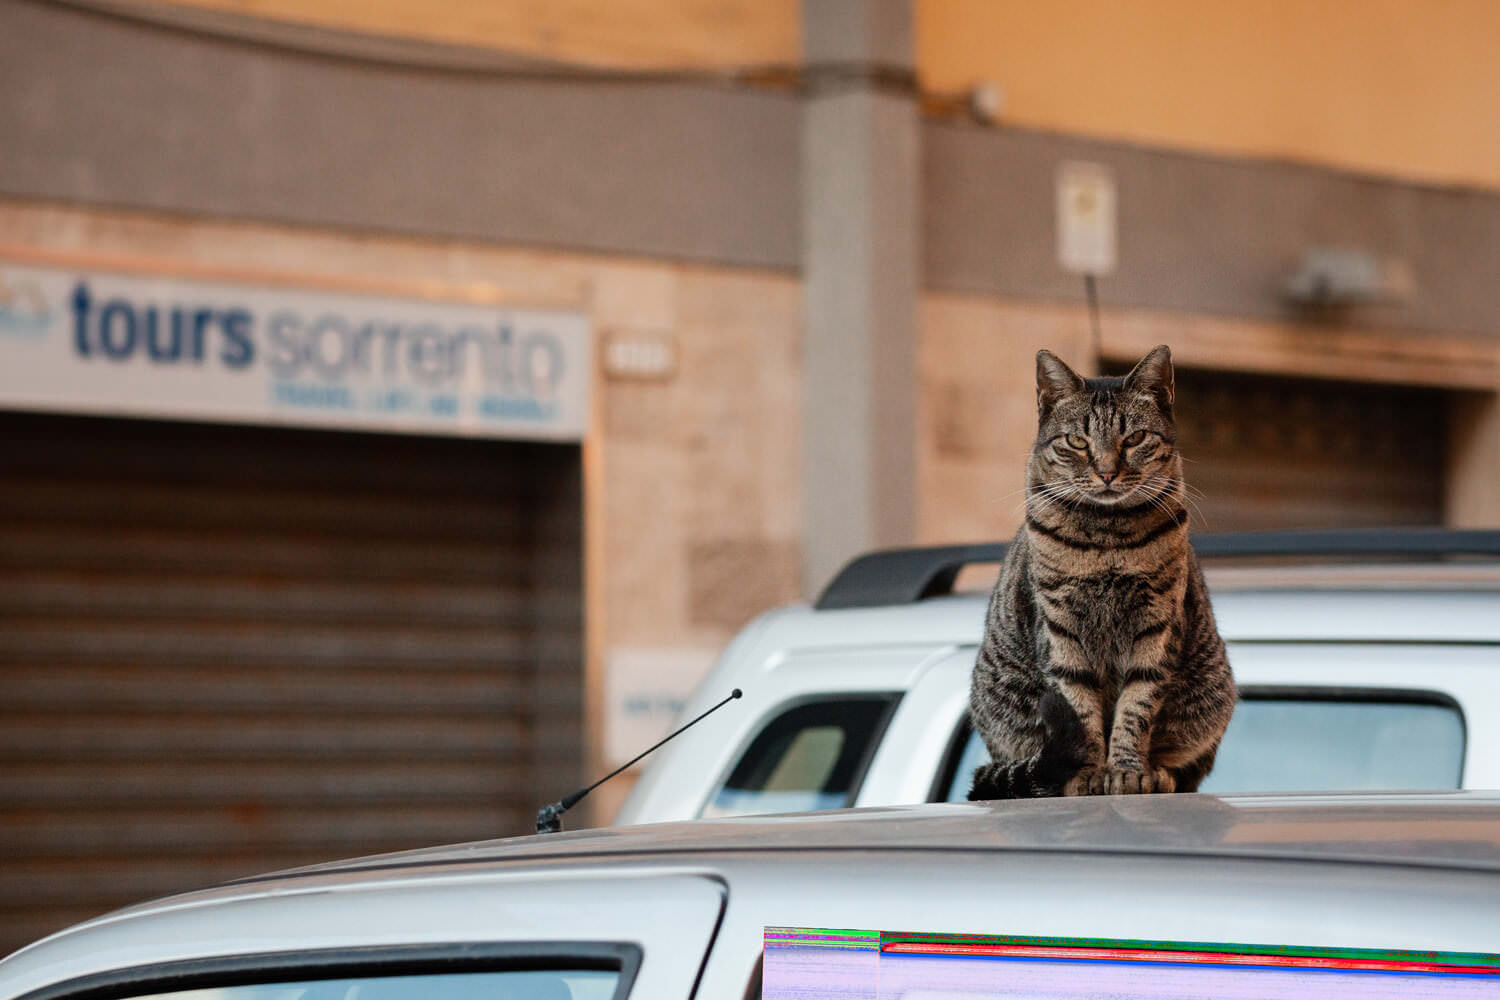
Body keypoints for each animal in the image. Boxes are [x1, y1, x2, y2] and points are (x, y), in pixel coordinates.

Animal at [966, 347, 1236, 803]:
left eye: (1134, 439)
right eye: (1077, 441)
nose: (1107, 472)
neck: (1107, 541)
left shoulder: (1157, 626)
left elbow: (1136, 707)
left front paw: (1126, 771)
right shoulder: (1060, 629)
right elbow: (1080, 711)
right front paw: (1088, 773)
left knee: (1187, 771)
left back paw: (1159, 773)